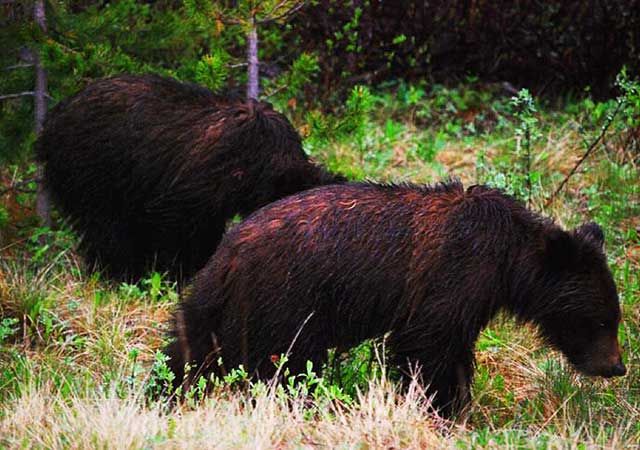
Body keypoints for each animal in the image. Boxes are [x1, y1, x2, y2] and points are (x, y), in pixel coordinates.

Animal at [36, 74, 344, 282]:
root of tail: (51, 121)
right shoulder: (200, 182)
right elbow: (181, 226)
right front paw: (182, 272)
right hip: (93, 170)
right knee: (107, 226)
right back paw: (118, 272)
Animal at [163, 180, 626, 417]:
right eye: (603, 320)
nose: (616, 367)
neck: (508, 262)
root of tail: (231, 249)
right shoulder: (454, 273)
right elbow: (428, 346)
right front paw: (441, 407)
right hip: (285, 299)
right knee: (285, 362)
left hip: (223, 301)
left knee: (190, 342)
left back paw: (168, 390)